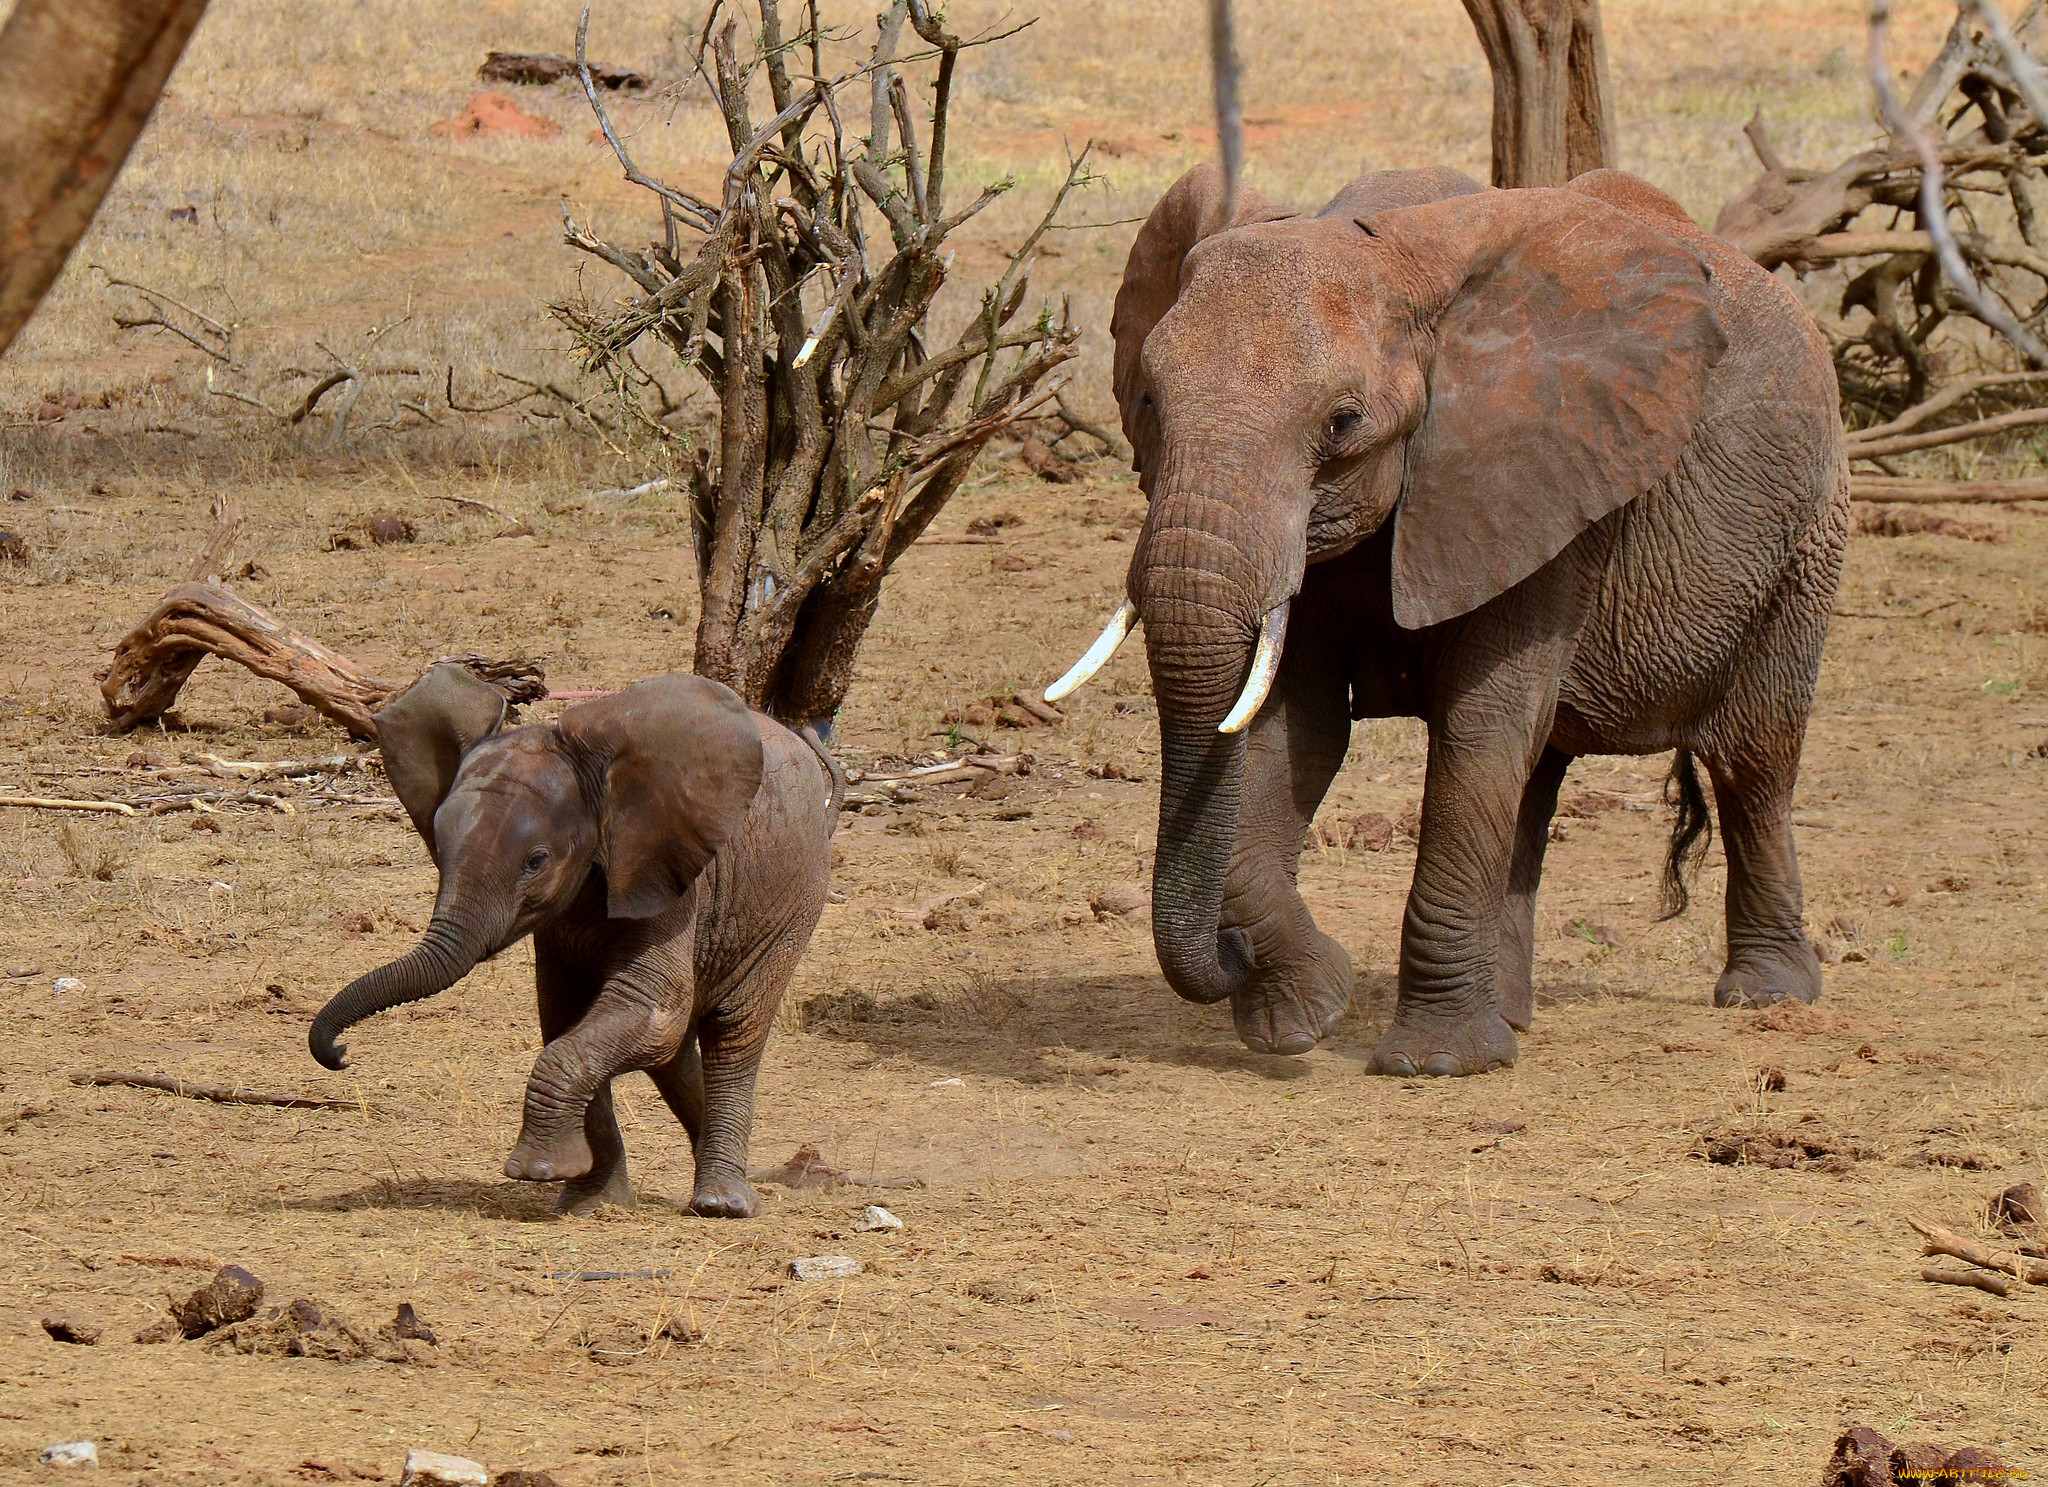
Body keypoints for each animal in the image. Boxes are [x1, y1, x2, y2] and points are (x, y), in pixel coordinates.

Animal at [309, 667, 831, 1220]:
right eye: (441, 848)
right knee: (671, 1054)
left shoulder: (664, 874)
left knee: (733, 1029)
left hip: (795, 900)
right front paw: (589, 1202)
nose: (340, 1053)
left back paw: (722, 1204)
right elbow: (568, 1018)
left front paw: (537, 1171)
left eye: (535, 862)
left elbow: (648, 1011)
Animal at [1048, 162, 1851, 1081]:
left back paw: (1766, 995)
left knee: (1753, 759)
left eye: (1343, 423)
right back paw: (1512, 1014)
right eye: (1148, 400)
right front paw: (1301, 1015)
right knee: (1535, 778)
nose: (1230, 956)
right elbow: (1296, 729)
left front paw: (1430, 1063)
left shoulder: (1542, 473)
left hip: (1810, 535)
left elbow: (1478, 723)